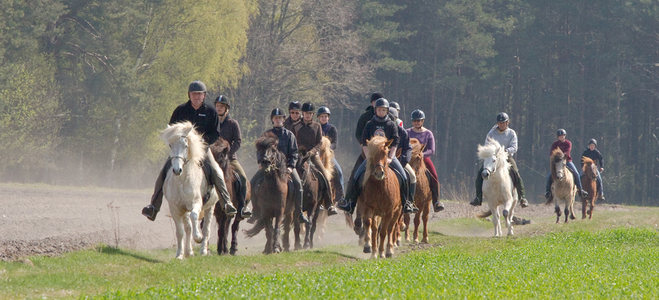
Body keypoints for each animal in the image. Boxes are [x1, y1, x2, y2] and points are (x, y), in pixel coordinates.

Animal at [162, 120, 219, 258]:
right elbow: (180, 232)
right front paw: (179, 255)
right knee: (187, 228)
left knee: (206, 228)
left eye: (185, 145)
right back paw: (189, 252)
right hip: (185, 209)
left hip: (210, 207)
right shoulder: (175, 208)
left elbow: (195, 216)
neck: (182, 181)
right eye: (170, 145)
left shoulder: (196, 203)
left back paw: (203, 250)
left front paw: (198, 237)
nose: (177, 170)